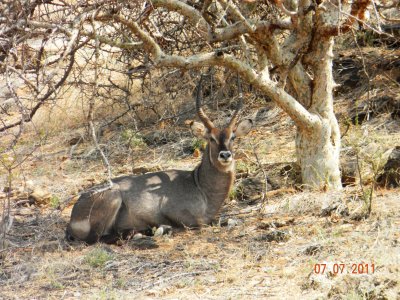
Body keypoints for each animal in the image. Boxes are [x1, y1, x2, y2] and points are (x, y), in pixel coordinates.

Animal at [67, 79, 252, 244]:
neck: (198, 184)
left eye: (233, 137)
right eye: (211, 138)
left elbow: (224, 220)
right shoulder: (176, 213)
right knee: (95, 239)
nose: (225, 155)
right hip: (113, 198)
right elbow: (202, 223)